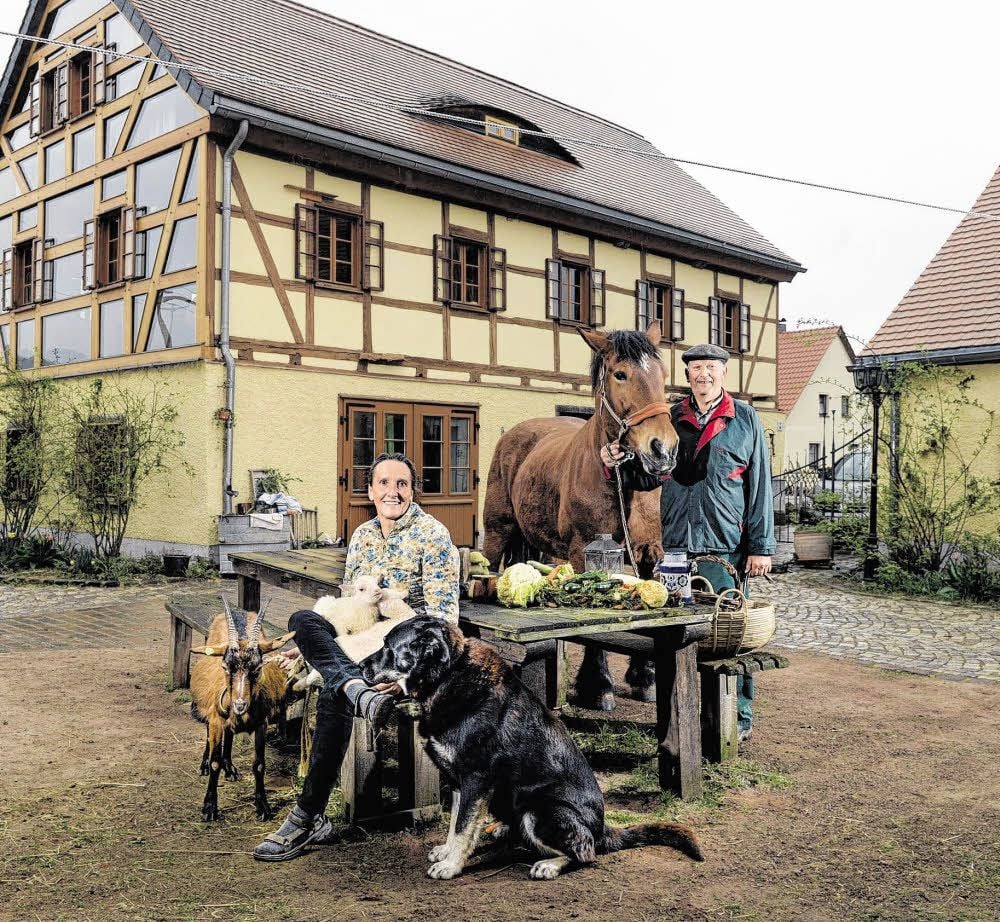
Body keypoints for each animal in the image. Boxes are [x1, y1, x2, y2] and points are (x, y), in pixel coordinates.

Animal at [189, 596, 292, 820]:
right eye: (225, 667)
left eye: (258, 668)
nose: (239, 704)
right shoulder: (217, 720)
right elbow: (215, 762)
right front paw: (209, 807)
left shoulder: (261, 724)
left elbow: (259, 764)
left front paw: (263, 806)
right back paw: (205, 766)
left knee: (229, 735)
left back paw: (230, 768)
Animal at [362, 616, 704, 880]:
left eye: (389, 647)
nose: (359, 665)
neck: (447, 678)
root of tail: (603, 829)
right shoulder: (459, 783)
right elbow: (456, 825)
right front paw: (447, 853)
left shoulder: (475, 780)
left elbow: (462, 828)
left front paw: (451, 866)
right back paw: (503, 832)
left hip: (539, 810)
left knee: (586, 853)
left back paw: (549, 865)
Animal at [480, 320, 676, 708]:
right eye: (620, 374)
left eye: (662, 374)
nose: (662, 449)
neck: (620, 482)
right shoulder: (582, 552)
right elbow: (590, 622)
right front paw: (597, 684)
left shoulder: (648, 551)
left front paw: (644, 678)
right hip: (497, 531)